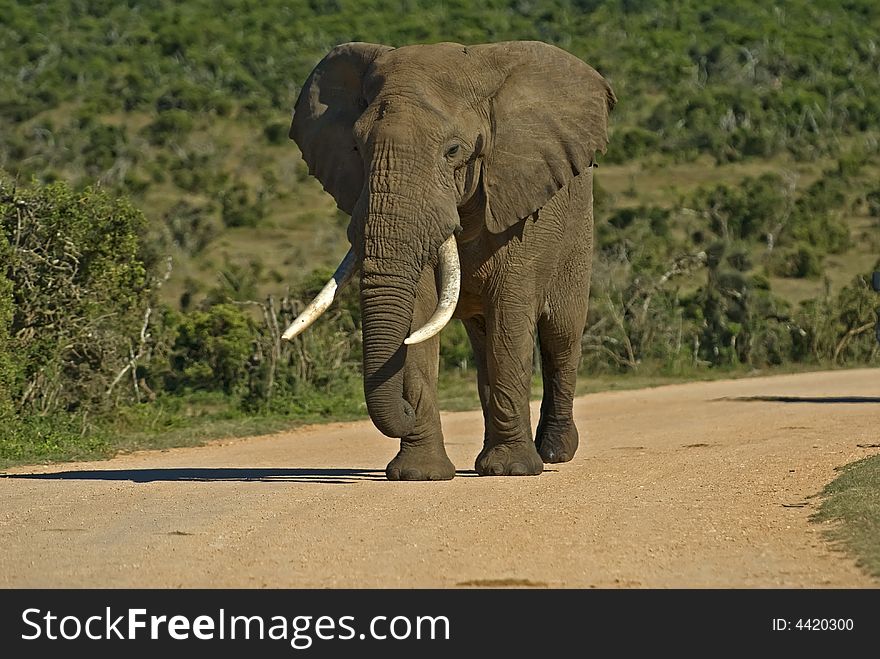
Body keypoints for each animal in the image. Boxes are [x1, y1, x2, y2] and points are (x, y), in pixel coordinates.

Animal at [286, 42, 616, 484]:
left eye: (453, 151)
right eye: (357, 147)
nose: (405, 410)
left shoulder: (518, 205)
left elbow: (510, 315)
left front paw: (513, 471)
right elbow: (417, 318)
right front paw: (419, 475)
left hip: (578, 234)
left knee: (560, 336)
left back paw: (553, 453)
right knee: (484, 344)